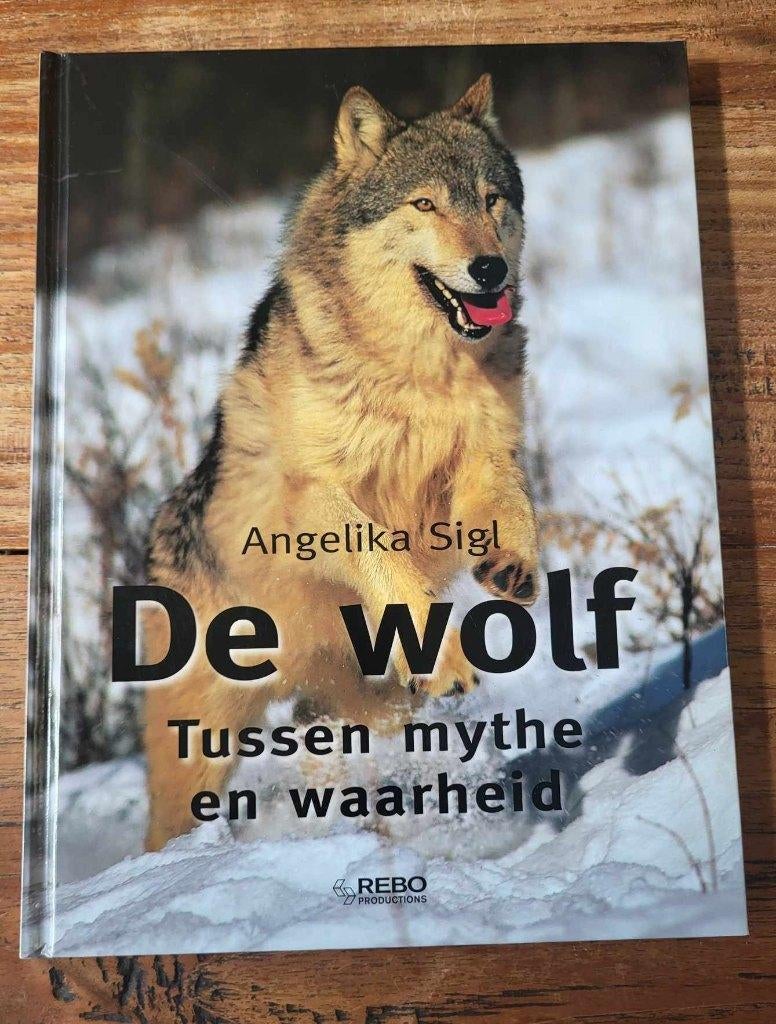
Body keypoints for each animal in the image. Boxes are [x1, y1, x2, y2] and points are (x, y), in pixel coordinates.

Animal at [143, 74, 539, 850]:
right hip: (200, 746)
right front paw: (445, 656)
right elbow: (382, 555)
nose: (489, 269)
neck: (421, 374)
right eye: (424, 204)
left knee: (321, 731)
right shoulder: (312, 498)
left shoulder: (481, 458)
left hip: (355, 706)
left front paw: (512, 563)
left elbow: (515, 503)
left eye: (490, 199)